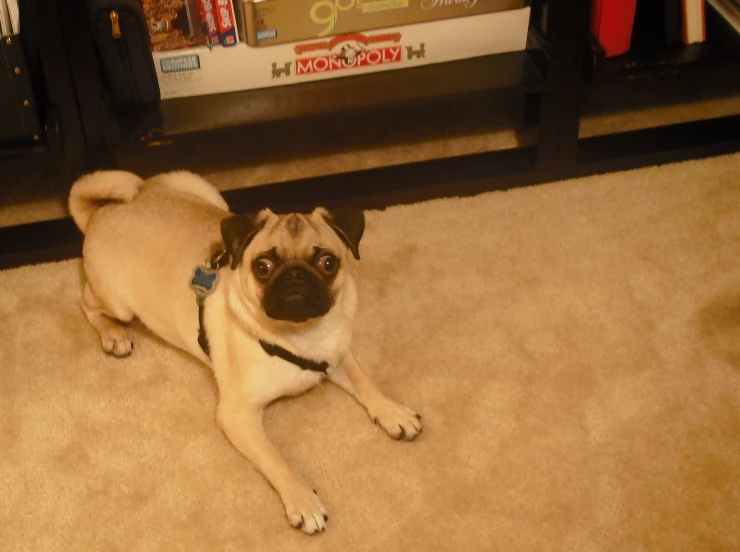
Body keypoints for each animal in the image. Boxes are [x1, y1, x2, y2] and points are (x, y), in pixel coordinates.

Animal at [68, 169, 422, 536]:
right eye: (262, 267)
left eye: (328, 263)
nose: (295, 276)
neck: (301, 336)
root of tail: (100, 214)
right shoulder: (237, 414)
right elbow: (276, 459)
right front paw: (303, 501)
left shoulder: (336, 355)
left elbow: (366, 381)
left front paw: (393, 412)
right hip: (118, 303)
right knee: (87, 302)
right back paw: (113, 336)